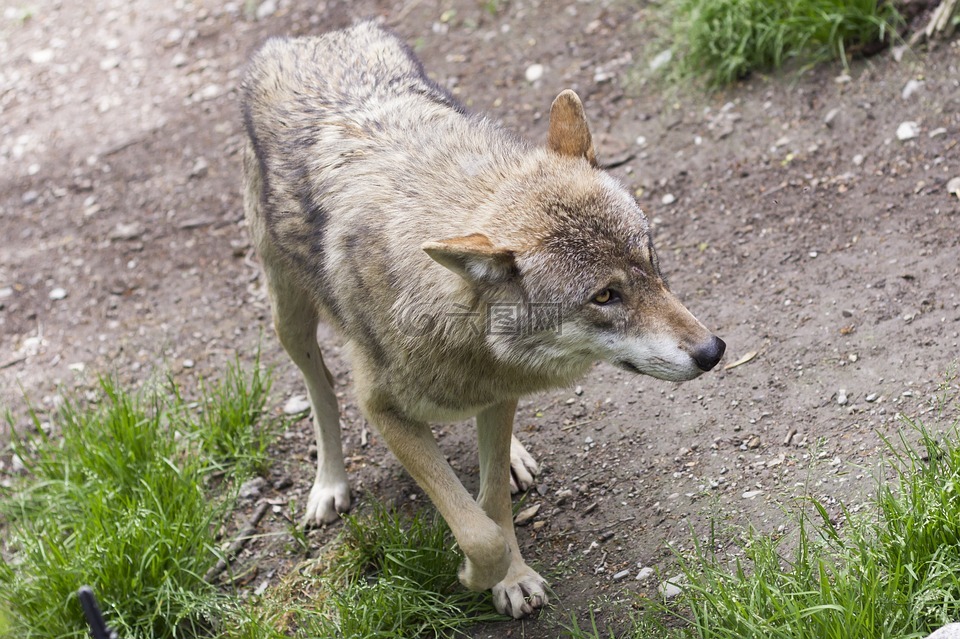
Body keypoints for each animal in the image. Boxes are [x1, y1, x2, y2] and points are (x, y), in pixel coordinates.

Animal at [244, 21, 724, 620]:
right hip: (289, 319)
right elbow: (478, 532)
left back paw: (514, 457)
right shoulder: (382, 410)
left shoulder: (498, 392)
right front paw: (474, 574)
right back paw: (329, 485)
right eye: (605, 296)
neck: (463, 335)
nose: (712, 351)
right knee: (320, 389)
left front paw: (511, 578)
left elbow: (491, 504)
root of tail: (314, 36)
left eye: (651, 259)